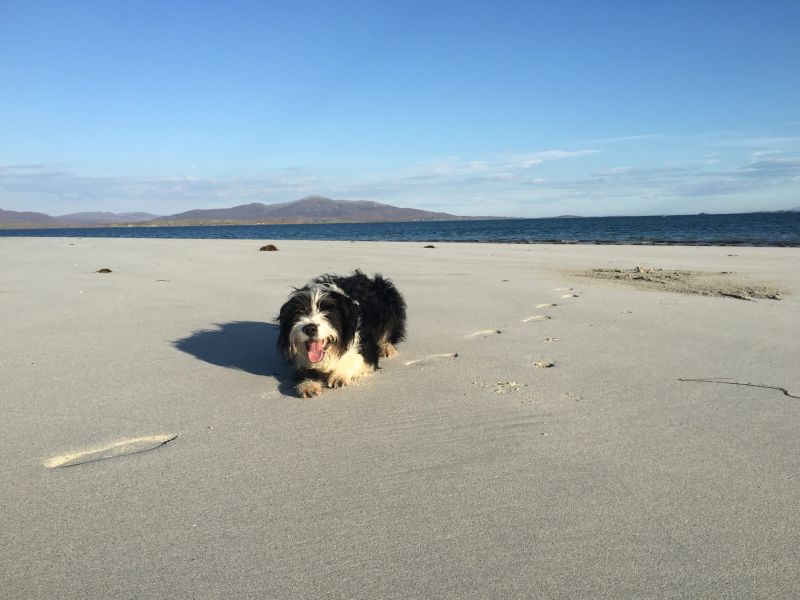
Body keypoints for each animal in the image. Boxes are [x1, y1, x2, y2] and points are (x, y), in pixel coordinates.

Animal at [278, 270, 410, 396]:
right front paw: (309, 385)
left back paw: (387, 347)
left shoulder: (366, 348)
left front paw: (339, 376)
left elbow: (356, 358)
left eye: (327, 313)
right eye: (299, 313)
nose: (310, 328)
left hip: (389, 298)